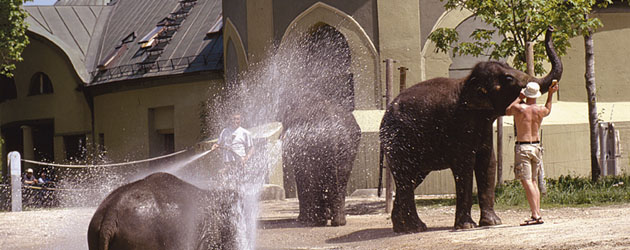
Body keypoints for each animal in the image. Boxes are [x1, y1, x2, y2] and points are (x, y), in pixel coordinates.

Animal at [278, 91, 362, 227]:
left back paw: (319, 221)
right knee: (341, 178)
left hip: (316, 145)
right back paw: (338, 222)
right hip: (348, 146)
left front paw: (302, 220)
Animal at [380, 26, 564, 233]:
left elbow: (488, 162)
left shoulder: (483, 127)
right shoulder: (458, 124)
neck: (468, 81)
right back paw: (416, 228)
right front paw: (467, 226)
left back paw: (402, 228)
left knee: (411, 180)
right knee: (406, 179)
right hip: (398, 144)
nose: (550, 28)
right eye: (509, 78)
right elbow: (465, 166)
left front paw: (493, 223)